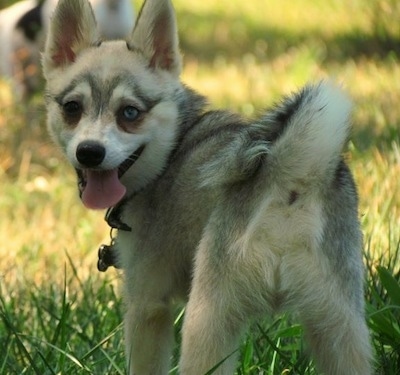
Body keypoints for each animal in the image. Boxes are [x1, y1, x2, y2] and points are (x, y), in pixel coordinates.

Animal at [42, 0, 374, 374]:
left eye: (129, 112)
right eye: (72, 108)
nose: (90, 152)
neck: (173, 147)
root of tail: (288, 174)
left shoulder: (146, 305)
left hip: (207, 318)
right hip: (339, 328)